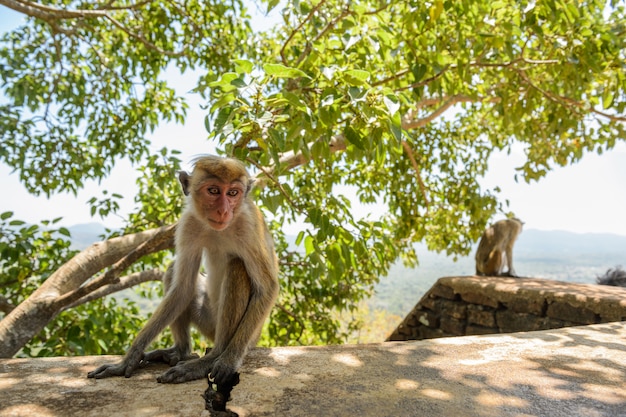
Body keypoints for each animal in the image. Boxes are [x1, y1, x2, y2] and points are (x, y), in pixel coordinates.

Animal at [86, 155, 276, 384]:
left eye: (233, 193)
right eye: (213, 190)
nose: (223, 210)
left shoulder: (248, 226)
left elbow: (267, 289)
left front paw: (228, 360)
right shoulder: (189, 224)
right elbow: (182, 288)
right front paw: (127, 360)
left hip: (246, 335)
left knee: (237, 266)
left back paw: (211, 358)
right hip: (207, 318)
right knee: (174, 274)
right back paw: (180, 351)